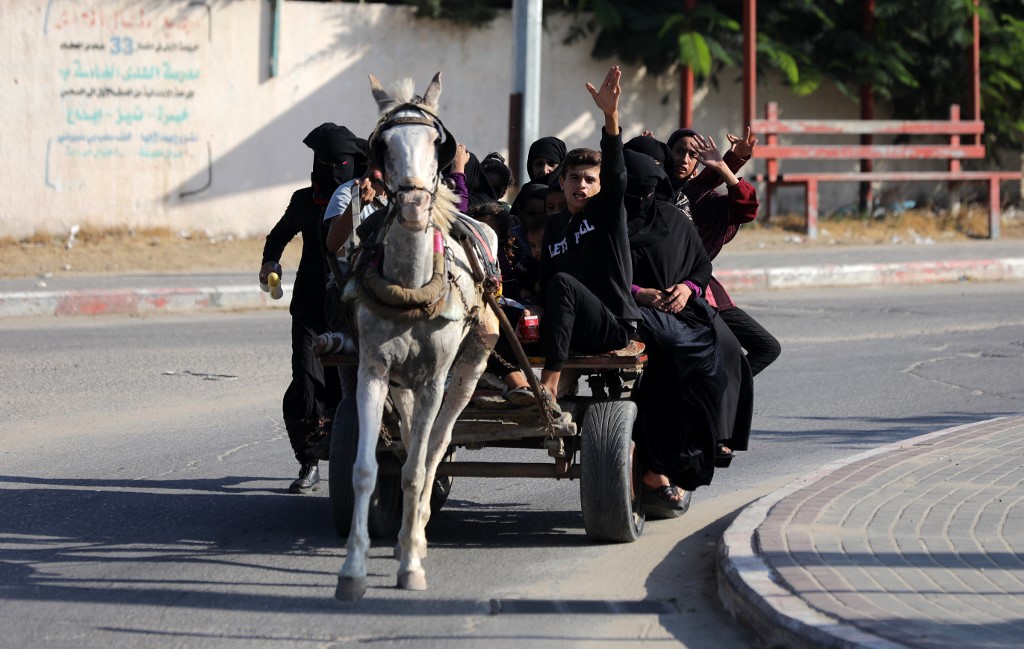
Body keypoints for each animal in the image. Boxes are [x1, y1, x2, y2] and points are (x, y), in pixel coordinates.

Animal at [337, 73, 501, 597]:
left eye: (435, 143)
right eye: (384, 145)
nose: (411, 205)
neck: (412, 284)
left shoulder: (433, 380)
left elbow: (415, 469)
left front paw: (411, 563)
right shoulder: (373, 371)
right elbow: (365, 469)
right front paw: (353, 570)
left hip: (468, 370)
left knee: (436, 444)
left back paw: (420, 530)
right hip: (401, 383)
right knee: (413, 437)